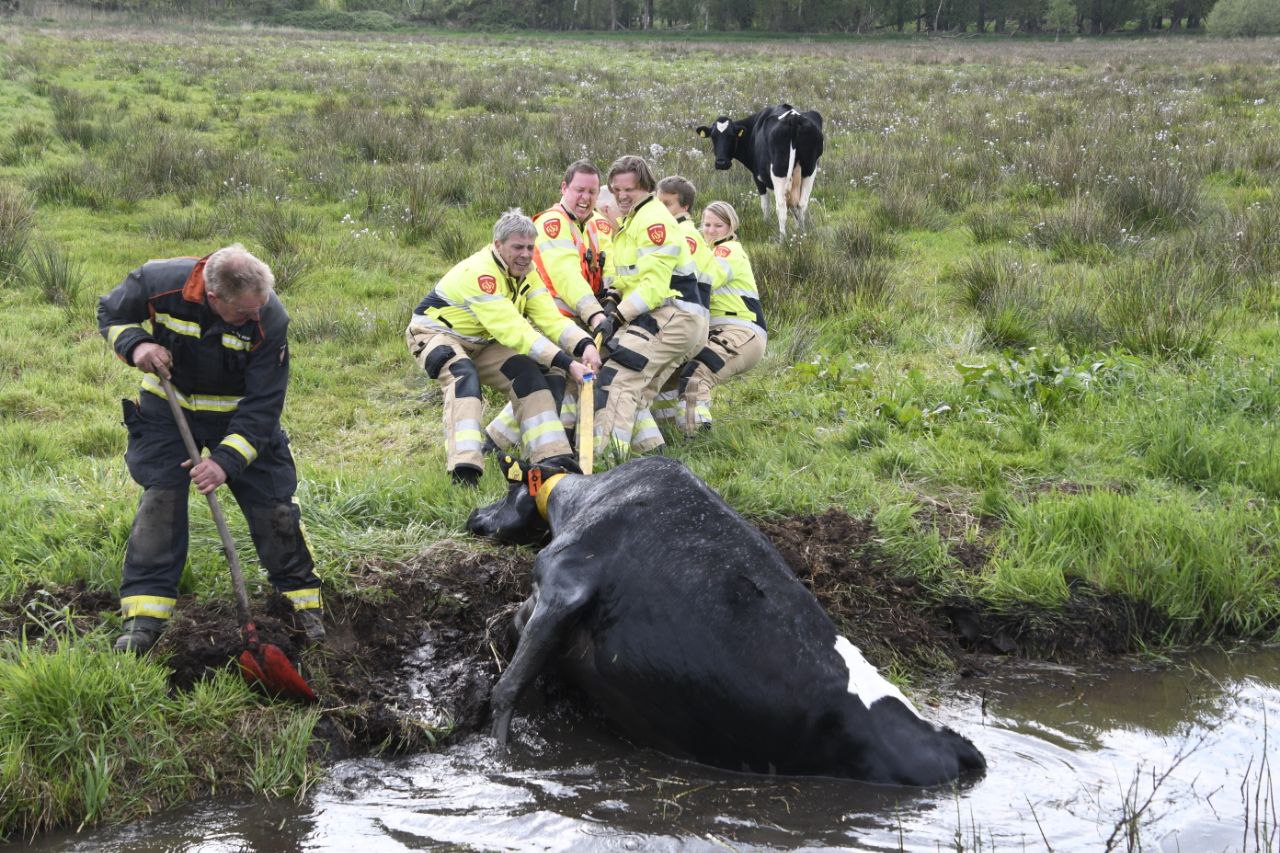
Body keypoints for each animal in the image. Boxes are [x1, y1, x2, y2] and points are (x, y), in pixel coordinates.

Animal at [467, 455, 986, 787]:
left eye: (508, 487)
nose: (473, 514)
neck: (594, 495)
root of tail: (950, 744)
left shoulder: (563, 582)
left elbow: (508, 686)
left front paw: (499, 760)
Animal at [696, 104, 824, 239]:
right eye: (713, 137)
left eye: (732, 136)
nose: (721, 163)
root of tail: (793, 117)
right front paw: (797, 230)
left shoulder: (757, 177)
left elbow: (765, 205)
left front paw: (766, 225)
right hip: (809, 169)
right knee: (801, 204)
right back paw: (802, 234)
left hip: (779, 171)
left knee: (781, 206)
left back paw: (782, 239)